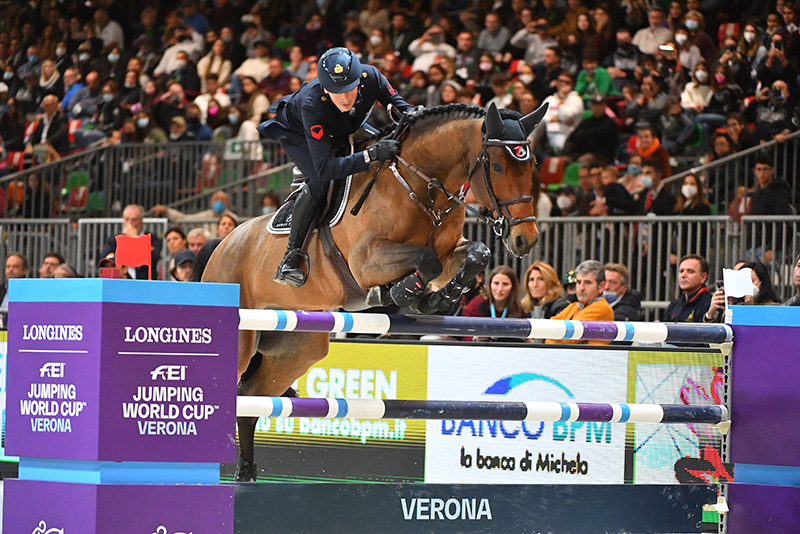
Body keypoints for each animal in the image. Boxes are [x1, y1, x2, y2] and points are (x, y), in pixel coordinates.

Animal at [196, 101, 552, 482]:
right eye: (497, 166)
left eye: (531, 164)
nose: (525, 239)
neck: (421, 186)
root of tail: (222, 244)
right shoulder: (366, 261)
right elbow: (426, 261)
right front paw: (398, 295)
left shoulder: (451, 252)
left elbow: (476, 254)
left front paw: (437, 299)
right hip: (242, 338)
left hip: (296, 349)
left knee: (250, 398)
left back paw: (246, 475)